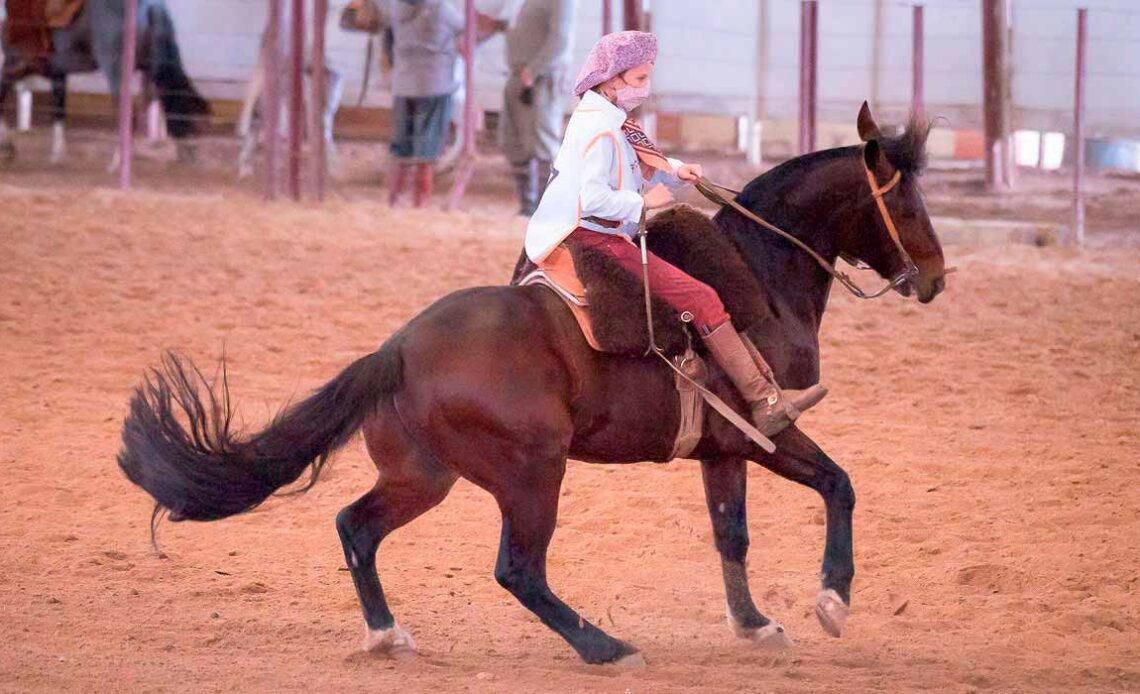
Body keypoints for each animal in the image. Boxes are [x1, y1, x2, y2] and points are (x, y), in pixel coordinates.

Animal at [0, 0, 209, 165]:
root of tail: (150, 5)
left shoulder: (11, 67)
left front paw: (7, 146)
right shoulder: (57, 72)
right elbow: (58, 110)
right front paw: (57, 154)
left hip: (116, 71)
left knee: (129, 114)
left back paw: (118, 162)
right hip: (154, 66)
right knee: (173, 95)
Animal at [120, 104, 948, 665]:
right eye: (908, 203)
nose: (937, 279)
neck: (763, 276)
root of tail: (397, 350)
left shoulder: (720, 450)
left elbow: (731, 533)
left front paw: (754, 624)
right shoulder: (764, 431)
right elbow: (838, 484)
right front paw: (832, 599)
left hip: (425, 476)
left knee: (356, 526)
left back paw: (387, 634)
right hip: (532, 472)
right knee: (518, 569)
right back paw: (606, 646)